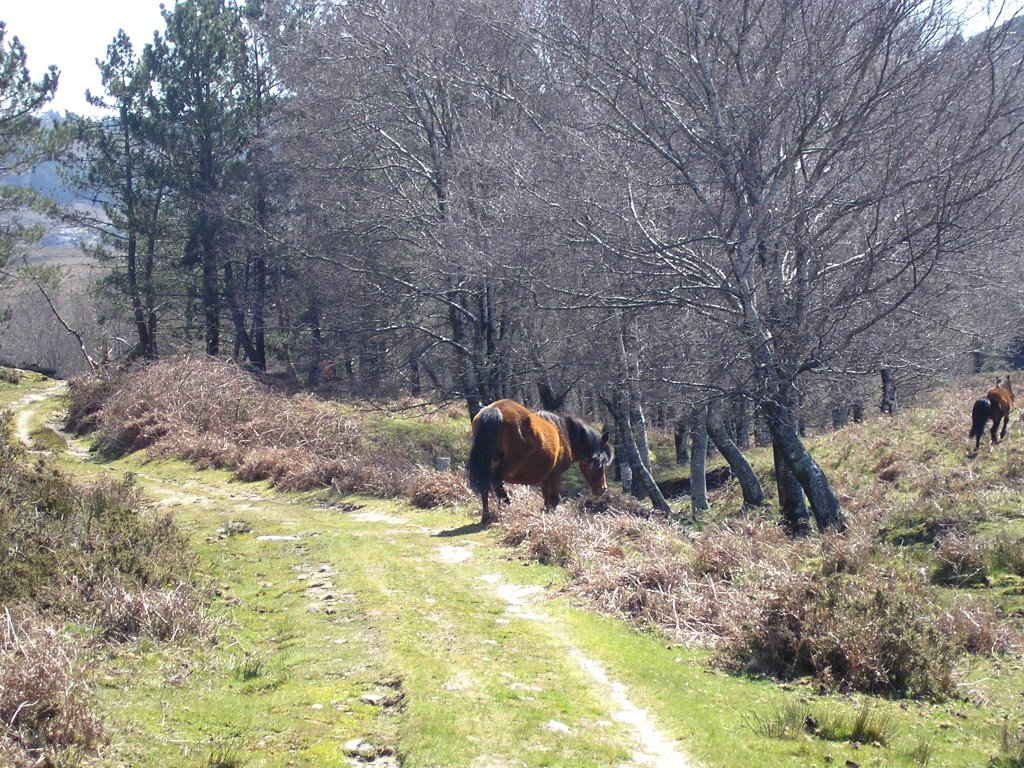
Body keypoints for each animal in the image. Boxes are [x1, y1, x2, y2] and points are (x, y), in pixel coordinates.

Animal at [468, 399, 610, 528]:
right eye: (600, 462)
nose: (602, 488)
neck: (564, 435)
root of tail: (496, 409)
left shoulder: (545, 478)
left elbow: (547, 500)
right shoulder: (555, 475)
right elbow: (553, 500)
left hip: (486, 465)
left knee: (485, 486)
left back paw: (487, 515)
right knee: (496, 483)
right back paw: (507, 507)